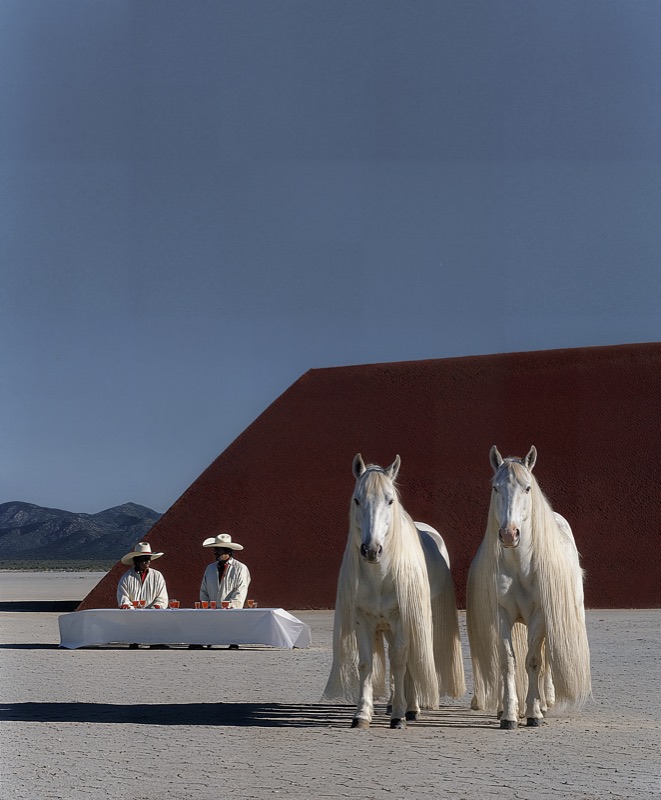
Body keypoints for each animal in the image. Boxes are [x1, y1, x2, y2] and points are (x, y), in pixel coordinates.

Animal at [323, 454, 466, 729]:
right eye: (357, 499)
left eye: (390, 500)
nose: (371, 550)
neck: (380, 577)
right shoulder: (363, 621)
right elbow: (366, 664)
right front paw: (362, 714)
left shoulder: (402, 618)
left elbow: (401, 661)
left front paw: (400, 715)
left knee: (410, 660)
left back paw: (411, 708)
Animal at [466, 445, 591, 729]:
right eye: (496, 487)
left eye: (527, 488)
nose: (509, 534)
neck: (520, 566)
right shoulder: (502, 615)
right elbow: (508, 662)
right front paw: (510, 715)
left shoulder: (540, 615)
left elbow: (534, 662)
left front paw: (534, 712)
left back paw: (544, 704)